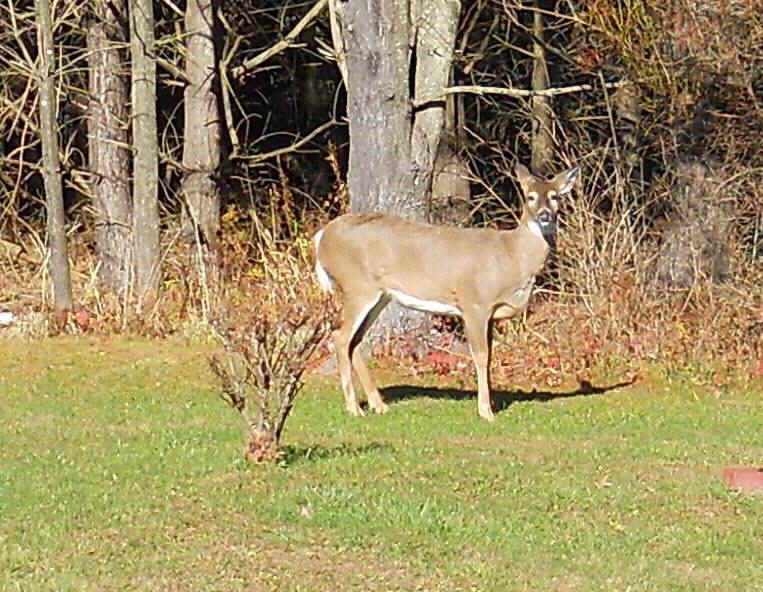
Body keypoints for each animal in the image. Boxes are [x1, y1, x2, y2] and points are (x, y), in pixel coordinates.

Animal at [313, 163, 580, 421]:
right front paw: (486, 411)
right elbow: (480, 355)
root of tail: (321, 237)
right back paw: (353, 408)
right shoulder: (474, 303)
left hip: (379, 294)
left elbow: (490, 356)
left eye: (555, 196)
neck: (511, 257)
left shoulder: (490, 313)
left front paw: (489, 404)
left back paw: (378, 405)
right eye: (530, 196)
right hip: (357, 286)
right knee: (340, 336)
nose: (545, 215)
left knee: (355, 340)